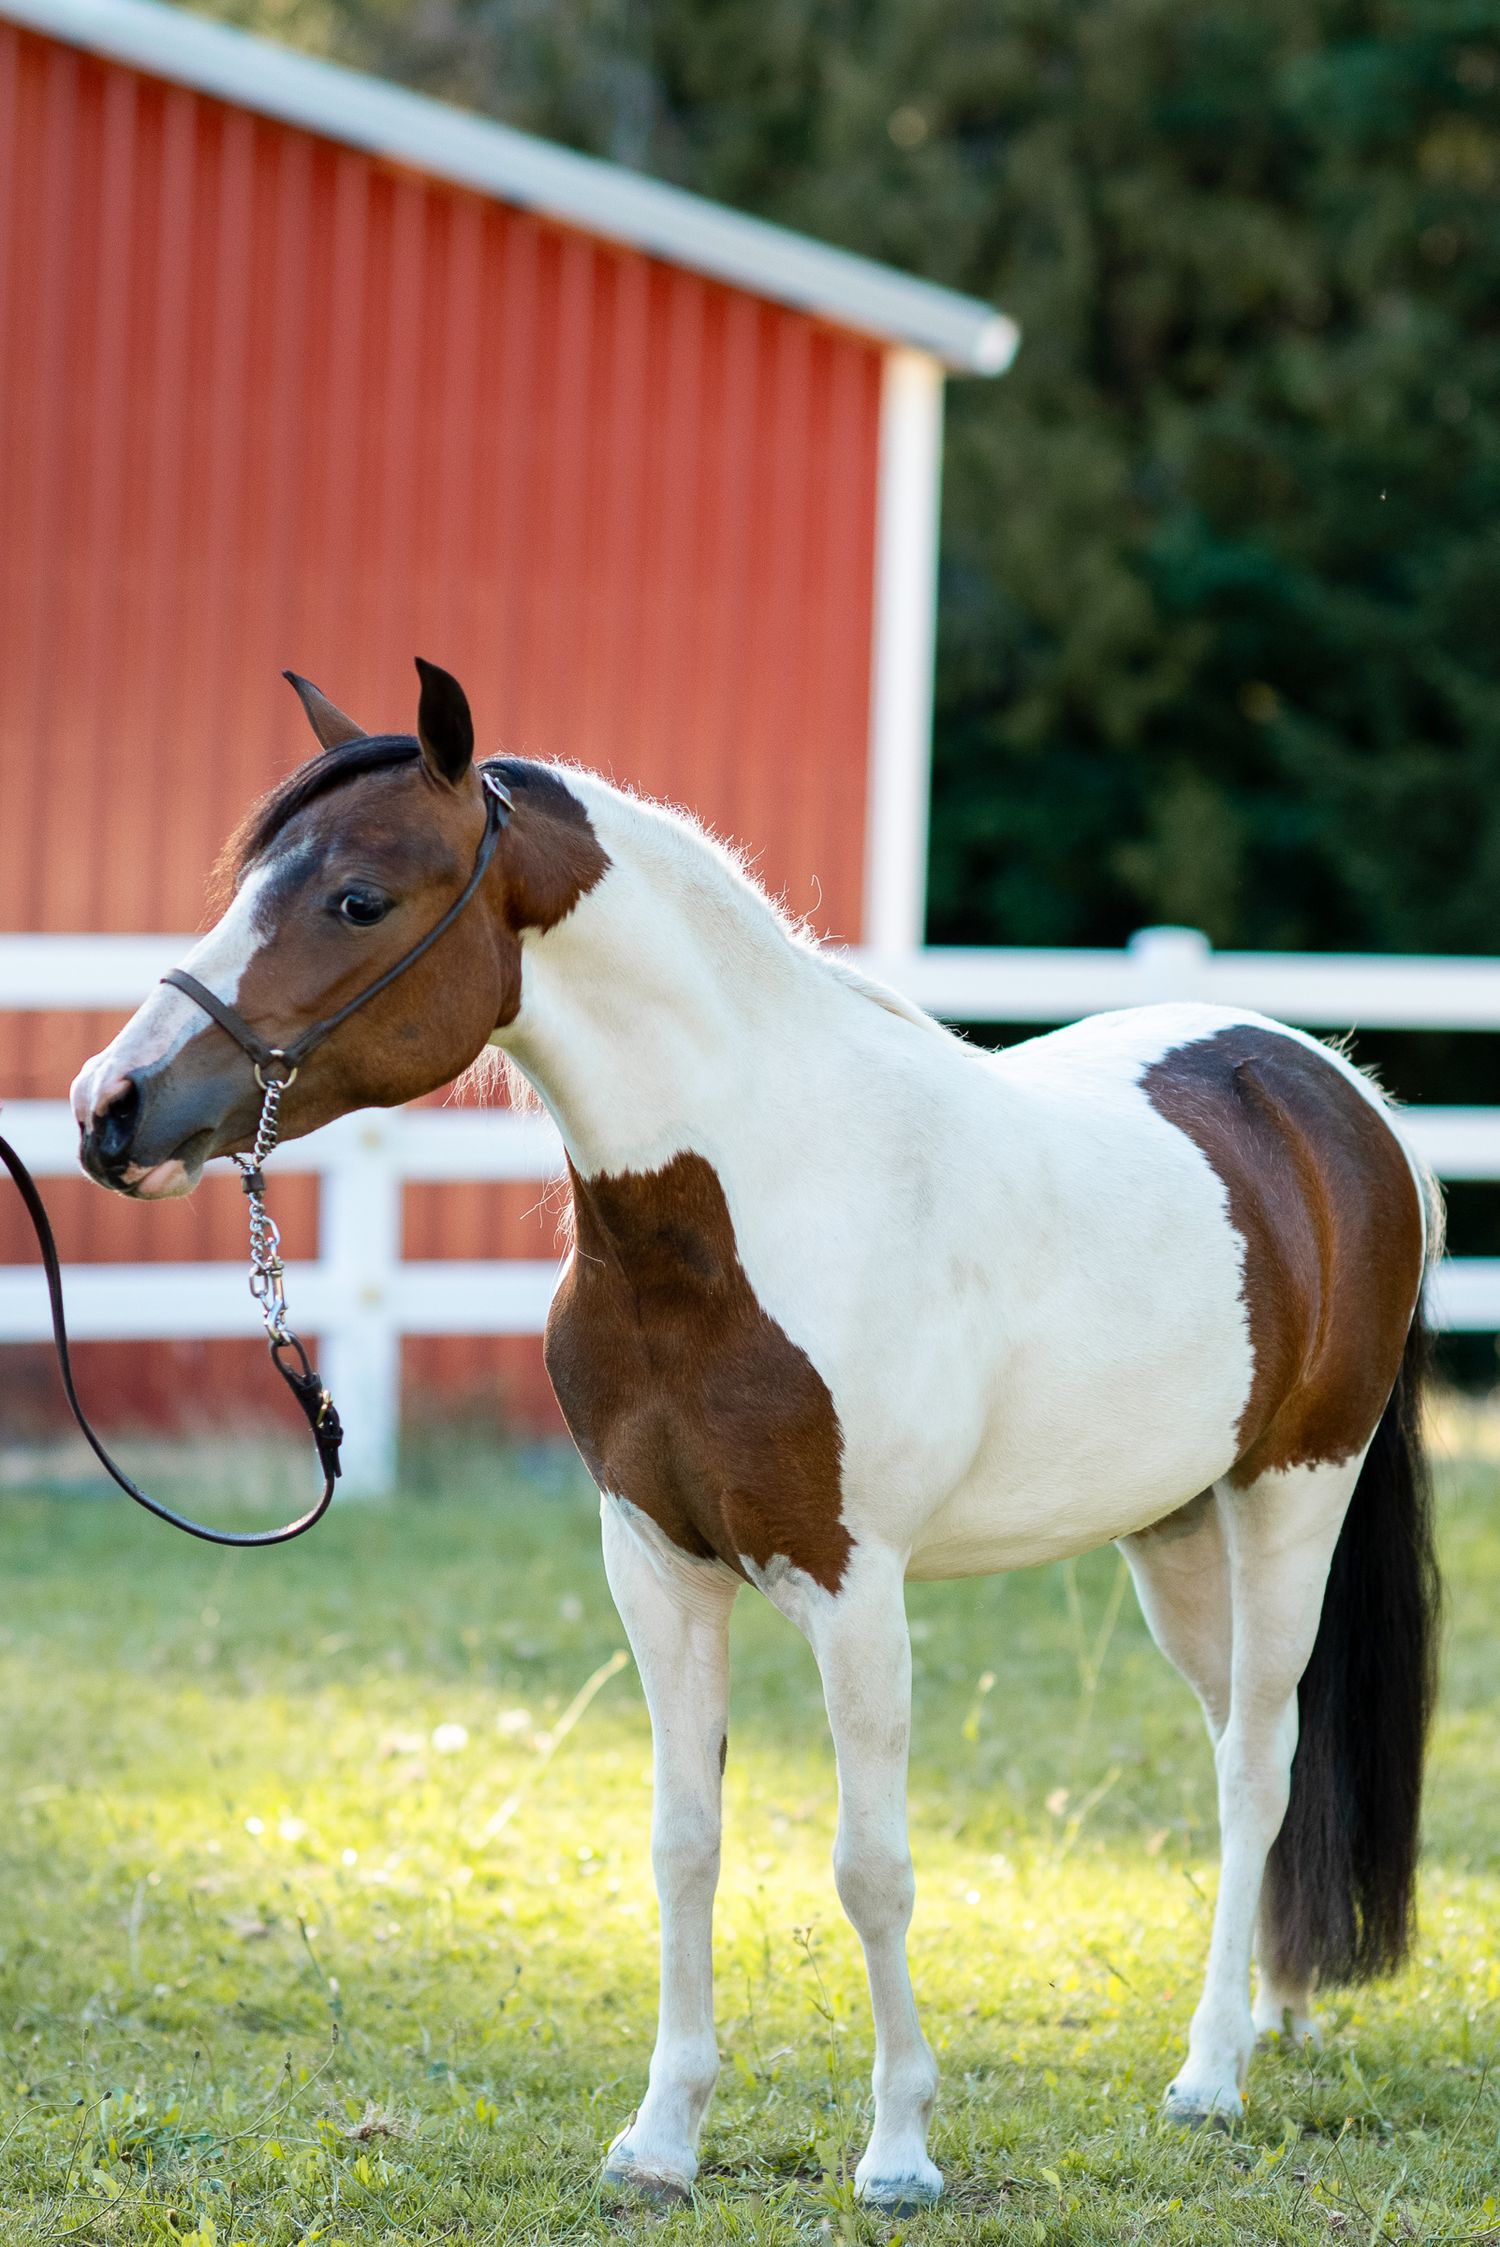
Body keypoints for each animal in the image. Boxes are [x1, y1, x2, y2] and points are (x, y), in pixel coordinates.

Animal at [71, 661, 1440, 2213]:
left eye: (357, 898)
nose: (111, 1108)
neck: (752, 1202)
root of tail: (1337, 1097)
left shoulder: (855, 1586)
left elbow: (870, 1866)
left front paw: (900, 2151)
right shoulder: (656, 1565)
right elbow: (685, 1844)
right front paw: (661, 2140)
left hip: (1291, 1500)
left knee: (1258, 1759)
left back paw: (1210, 2074)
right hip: (1174, 1532)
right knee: (1248, 1762)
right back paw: (1276, 2014)